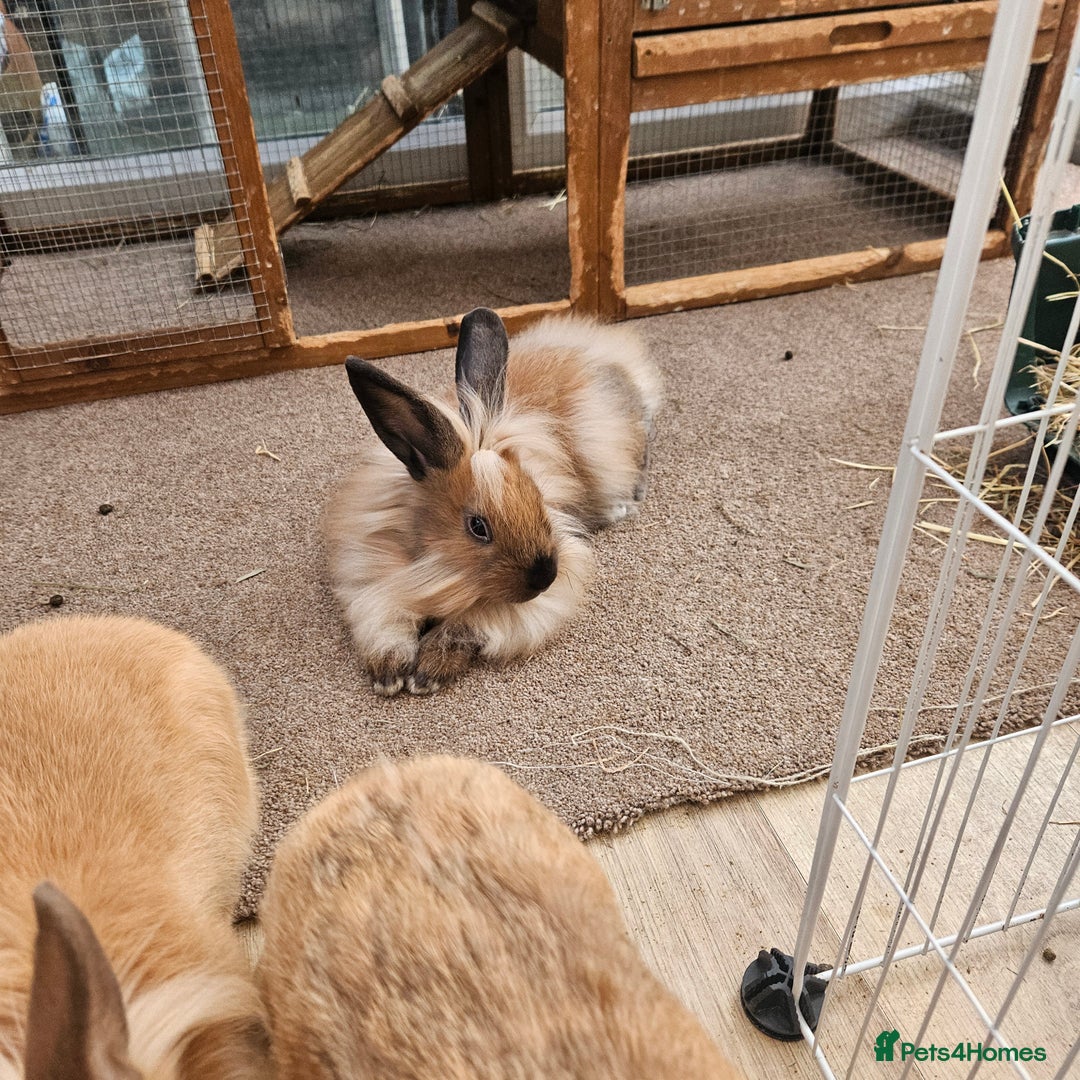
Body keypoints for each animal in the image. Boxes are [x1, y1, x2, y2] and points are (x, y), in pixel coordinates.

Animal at [325, 307, 662, 696]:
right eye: (477, 527)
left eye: (537, 496)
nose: (546, 576)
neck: (439, 570)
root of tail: (607, 354)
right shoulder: (370, 581)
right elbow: (386, 626)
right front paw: (389, 674)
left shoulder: (524, 609)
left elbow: (465, 627)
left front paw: (428, 673)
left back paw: (624, 505)